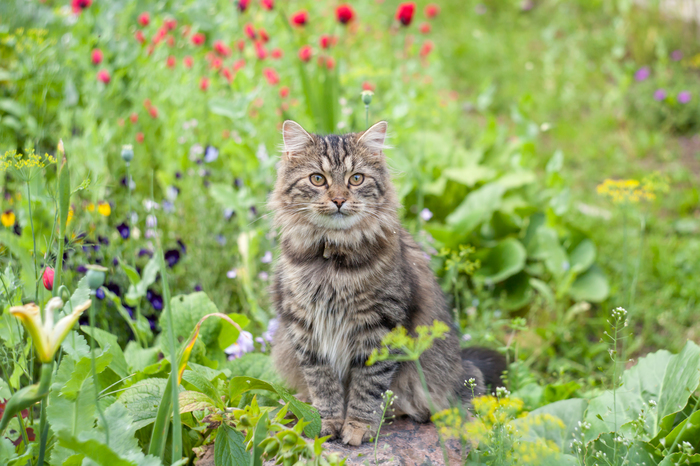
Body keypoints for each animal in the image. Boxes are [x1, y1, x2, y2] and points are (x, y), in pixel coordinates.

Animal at [268, 119, 504, 444]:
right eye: (317, 179)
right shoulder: (304, 324)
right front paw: (326, 422)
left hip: (452, 376)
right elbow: (322, 384)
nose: (339, 200)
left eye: (356, 179)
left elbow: (368, 385)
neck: (333, 262)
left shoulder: (380, 325)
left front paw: (358, 427)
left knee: (469, 392)